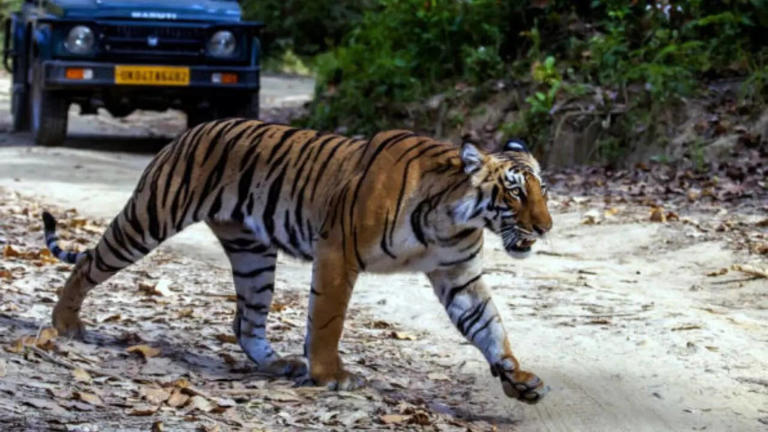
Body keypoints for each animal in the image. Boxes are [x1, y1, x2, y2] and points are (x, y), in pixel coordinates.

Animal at [42, 119, 553, 403]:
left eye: (544, 191)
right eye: (514, 191)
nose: (547, 227)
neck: (451, 217)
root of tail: (193, 129)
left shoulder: (457, 275)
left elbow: (489, 326)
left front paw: (518, 379)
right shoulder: (337, 252)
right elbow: (327, 319)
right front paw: (330, 375)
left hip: (252, 255)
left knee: (244, 320)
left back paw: (276, 365)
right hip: (150, 216)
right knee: (88, 263)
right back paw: (65, 324)